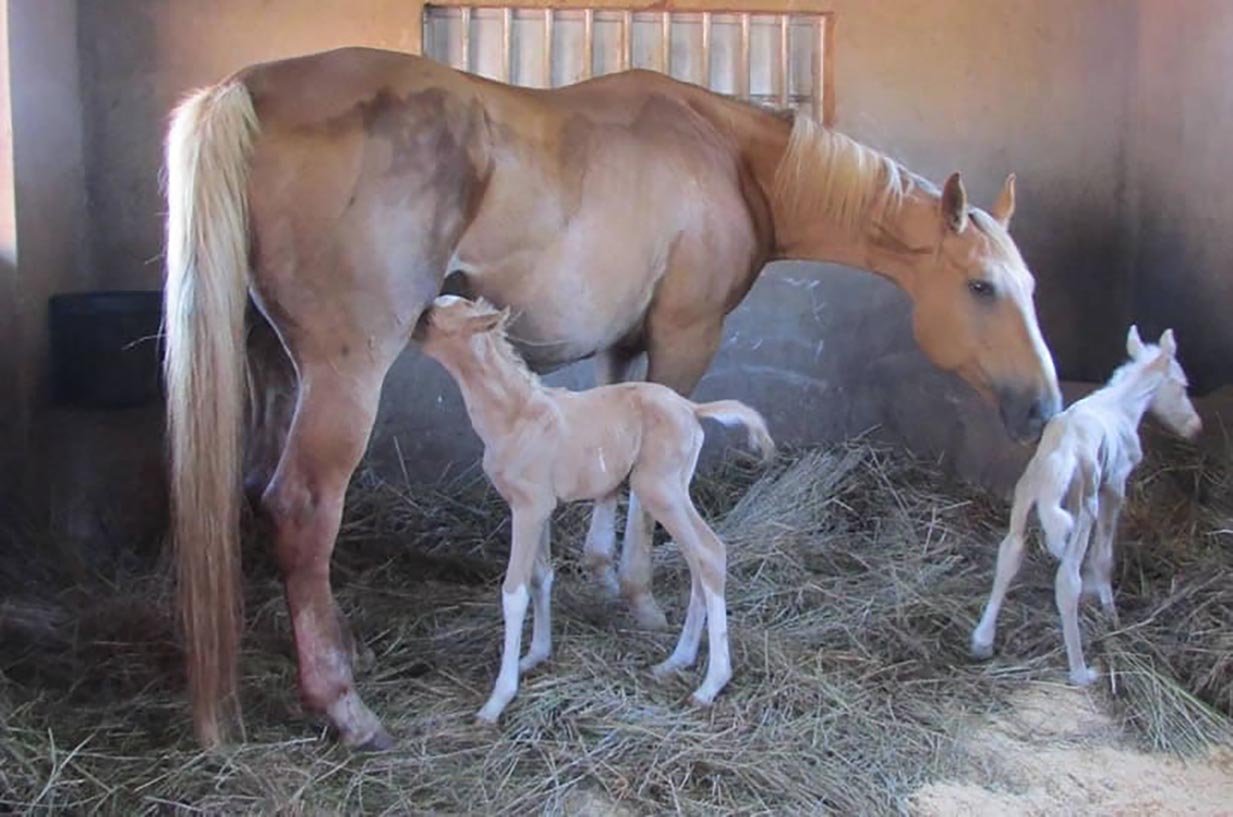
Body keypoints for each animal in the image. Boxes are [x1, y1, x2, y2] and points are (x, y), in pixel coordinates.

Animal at [419, 294, 774, 724]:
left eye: (433, 319)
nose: (410, 322)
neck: (517, 416)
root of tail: (692, 408)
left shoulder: (529, 509)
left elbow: (514, 592)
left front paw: (497, 700)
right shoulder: (537, 508)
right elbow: (541, 576)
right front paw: (534, 656)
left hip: (659, 490)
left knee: (708, 552)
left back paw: (709, 686)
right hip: (674, 490)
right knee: (700, 560)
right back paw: (677, 661)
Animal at [966, 325, 1198, 685]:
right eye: (1183, 384)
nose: (1195, 426)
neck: (1122, 405)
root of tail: (1059, 458)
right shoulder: (1114, 485)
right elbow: (1104, 554)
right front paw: (1110, 611)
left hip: (1025, 495)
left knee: (1009, 553)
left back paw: (982, 641)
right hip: (1082, 507)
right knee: (1066, 581)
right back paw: (1081, 671)